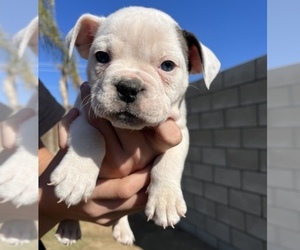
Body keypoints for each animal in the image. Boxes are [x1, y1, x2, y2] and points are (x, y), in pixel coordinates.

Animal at [50, 6, 220, 246]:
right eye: (102, 57)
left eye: (167, 66)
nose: (128, 87)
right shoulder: (81, 113)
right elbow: (91, 136)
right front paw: (75, 176)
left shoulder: (180, 132)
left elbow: (170, 160)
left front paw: (166, 199)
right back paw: (68, 227)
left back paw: (122, 230)